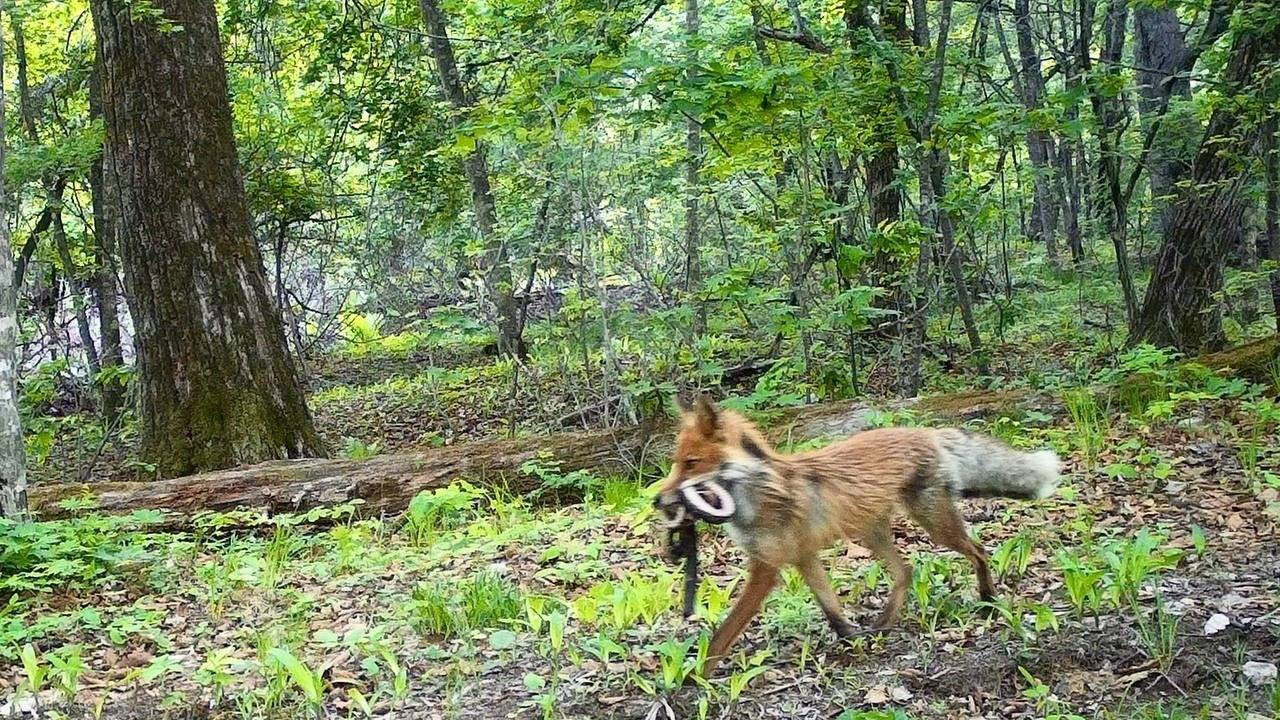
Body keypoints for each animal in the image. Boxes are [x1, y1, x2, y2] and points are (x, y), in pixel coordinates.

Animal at [650, 394, 1059, 676]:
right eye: (675, 463)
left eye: (691, 463)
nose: (657, 500)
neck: (760, 493)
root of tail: (922, 430)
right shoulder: (804, 557)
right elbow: (831, 608)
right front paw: (852, 637)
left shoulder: (767, 570)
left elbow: (723, 634)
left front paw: (693, 679)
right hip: (872, 533)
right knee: (907, 570)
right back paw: (884, 623)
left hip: (935, 525)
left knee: (978, 550)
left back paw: (988, 599)